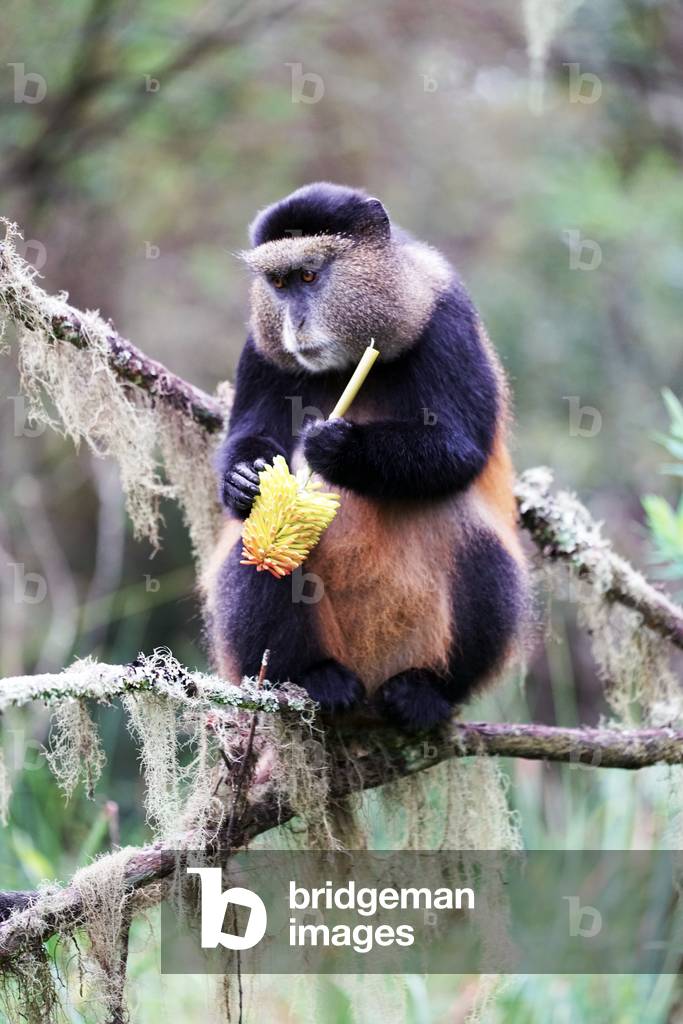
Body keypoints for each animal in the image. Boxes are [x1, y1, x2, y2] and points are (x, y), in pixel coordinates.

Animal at [202, 182, 528, 732]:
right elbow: (249, 434)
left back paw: (425, 691)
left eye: (309, 276)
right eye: (279, 284)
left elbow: (461, 448)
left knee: (479, 545)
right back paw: (314, 678)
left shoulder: (448, 315)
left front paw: (339, 448)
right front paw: (244, 481)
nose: (295, 322)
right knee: (253, 548)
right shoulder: (259, 348)